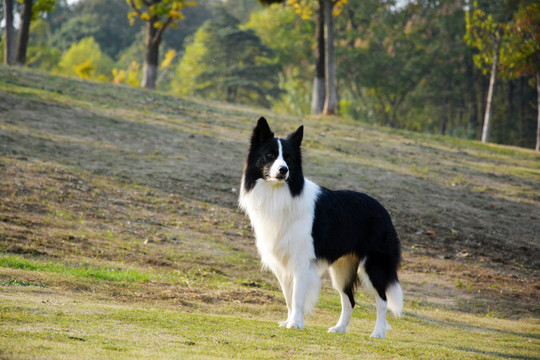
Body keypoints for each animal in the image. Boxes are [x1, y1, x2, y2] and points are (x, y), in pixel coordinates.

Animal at [239, 118, 400, 338]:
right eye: (270, 155)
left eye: (288, 158)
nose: (283, 170)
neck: (279, 194)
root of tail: (384, 211)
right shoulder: (282, 262)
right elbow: (288, 297)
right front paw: (289, 321)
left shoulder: (301, 261)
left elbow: (297, 296)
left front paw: (296, 324)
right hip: (342, 269)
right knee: (349, 300)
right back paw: (339, 328)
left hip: (372, 266)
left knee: (382, 299)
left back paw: (378, 333)